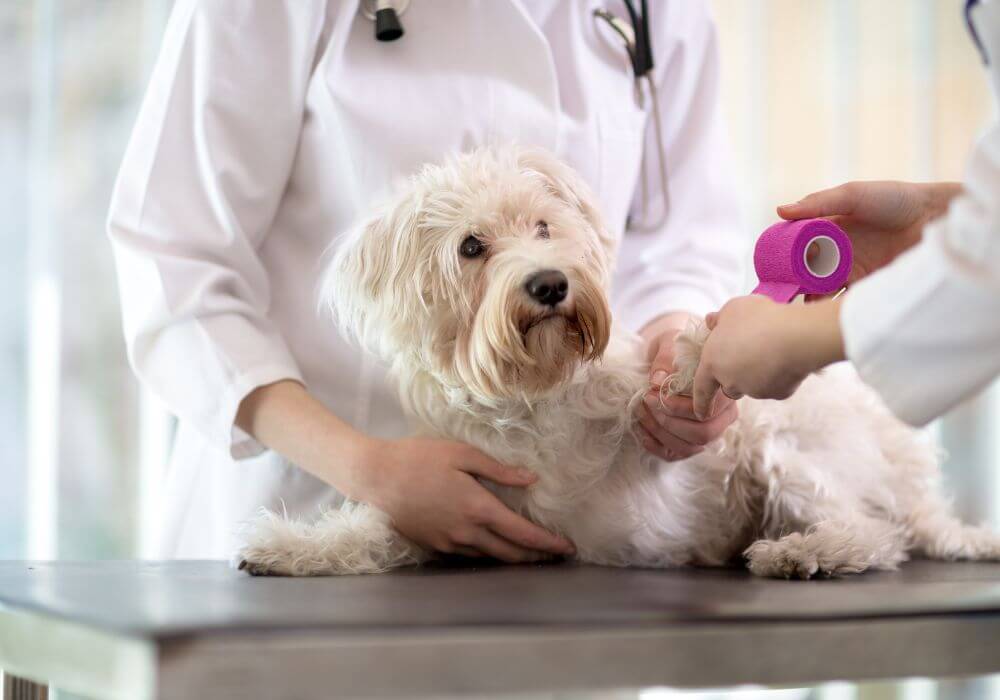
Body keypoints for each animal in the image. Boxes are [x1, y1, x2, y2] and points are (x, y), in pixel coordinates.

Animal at [236, 145, 1000, 576]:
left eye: (544, 226)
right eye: (471, 247)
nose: (549, 284)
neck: (532, 395)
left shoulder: (668, 440)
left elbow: (663, 398)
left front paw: (695, 353)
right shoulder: (462, 507)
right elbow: (373, 530)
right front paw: (291, 548)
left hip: (786, 449)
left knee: (876, 533)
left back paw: (802, 551)